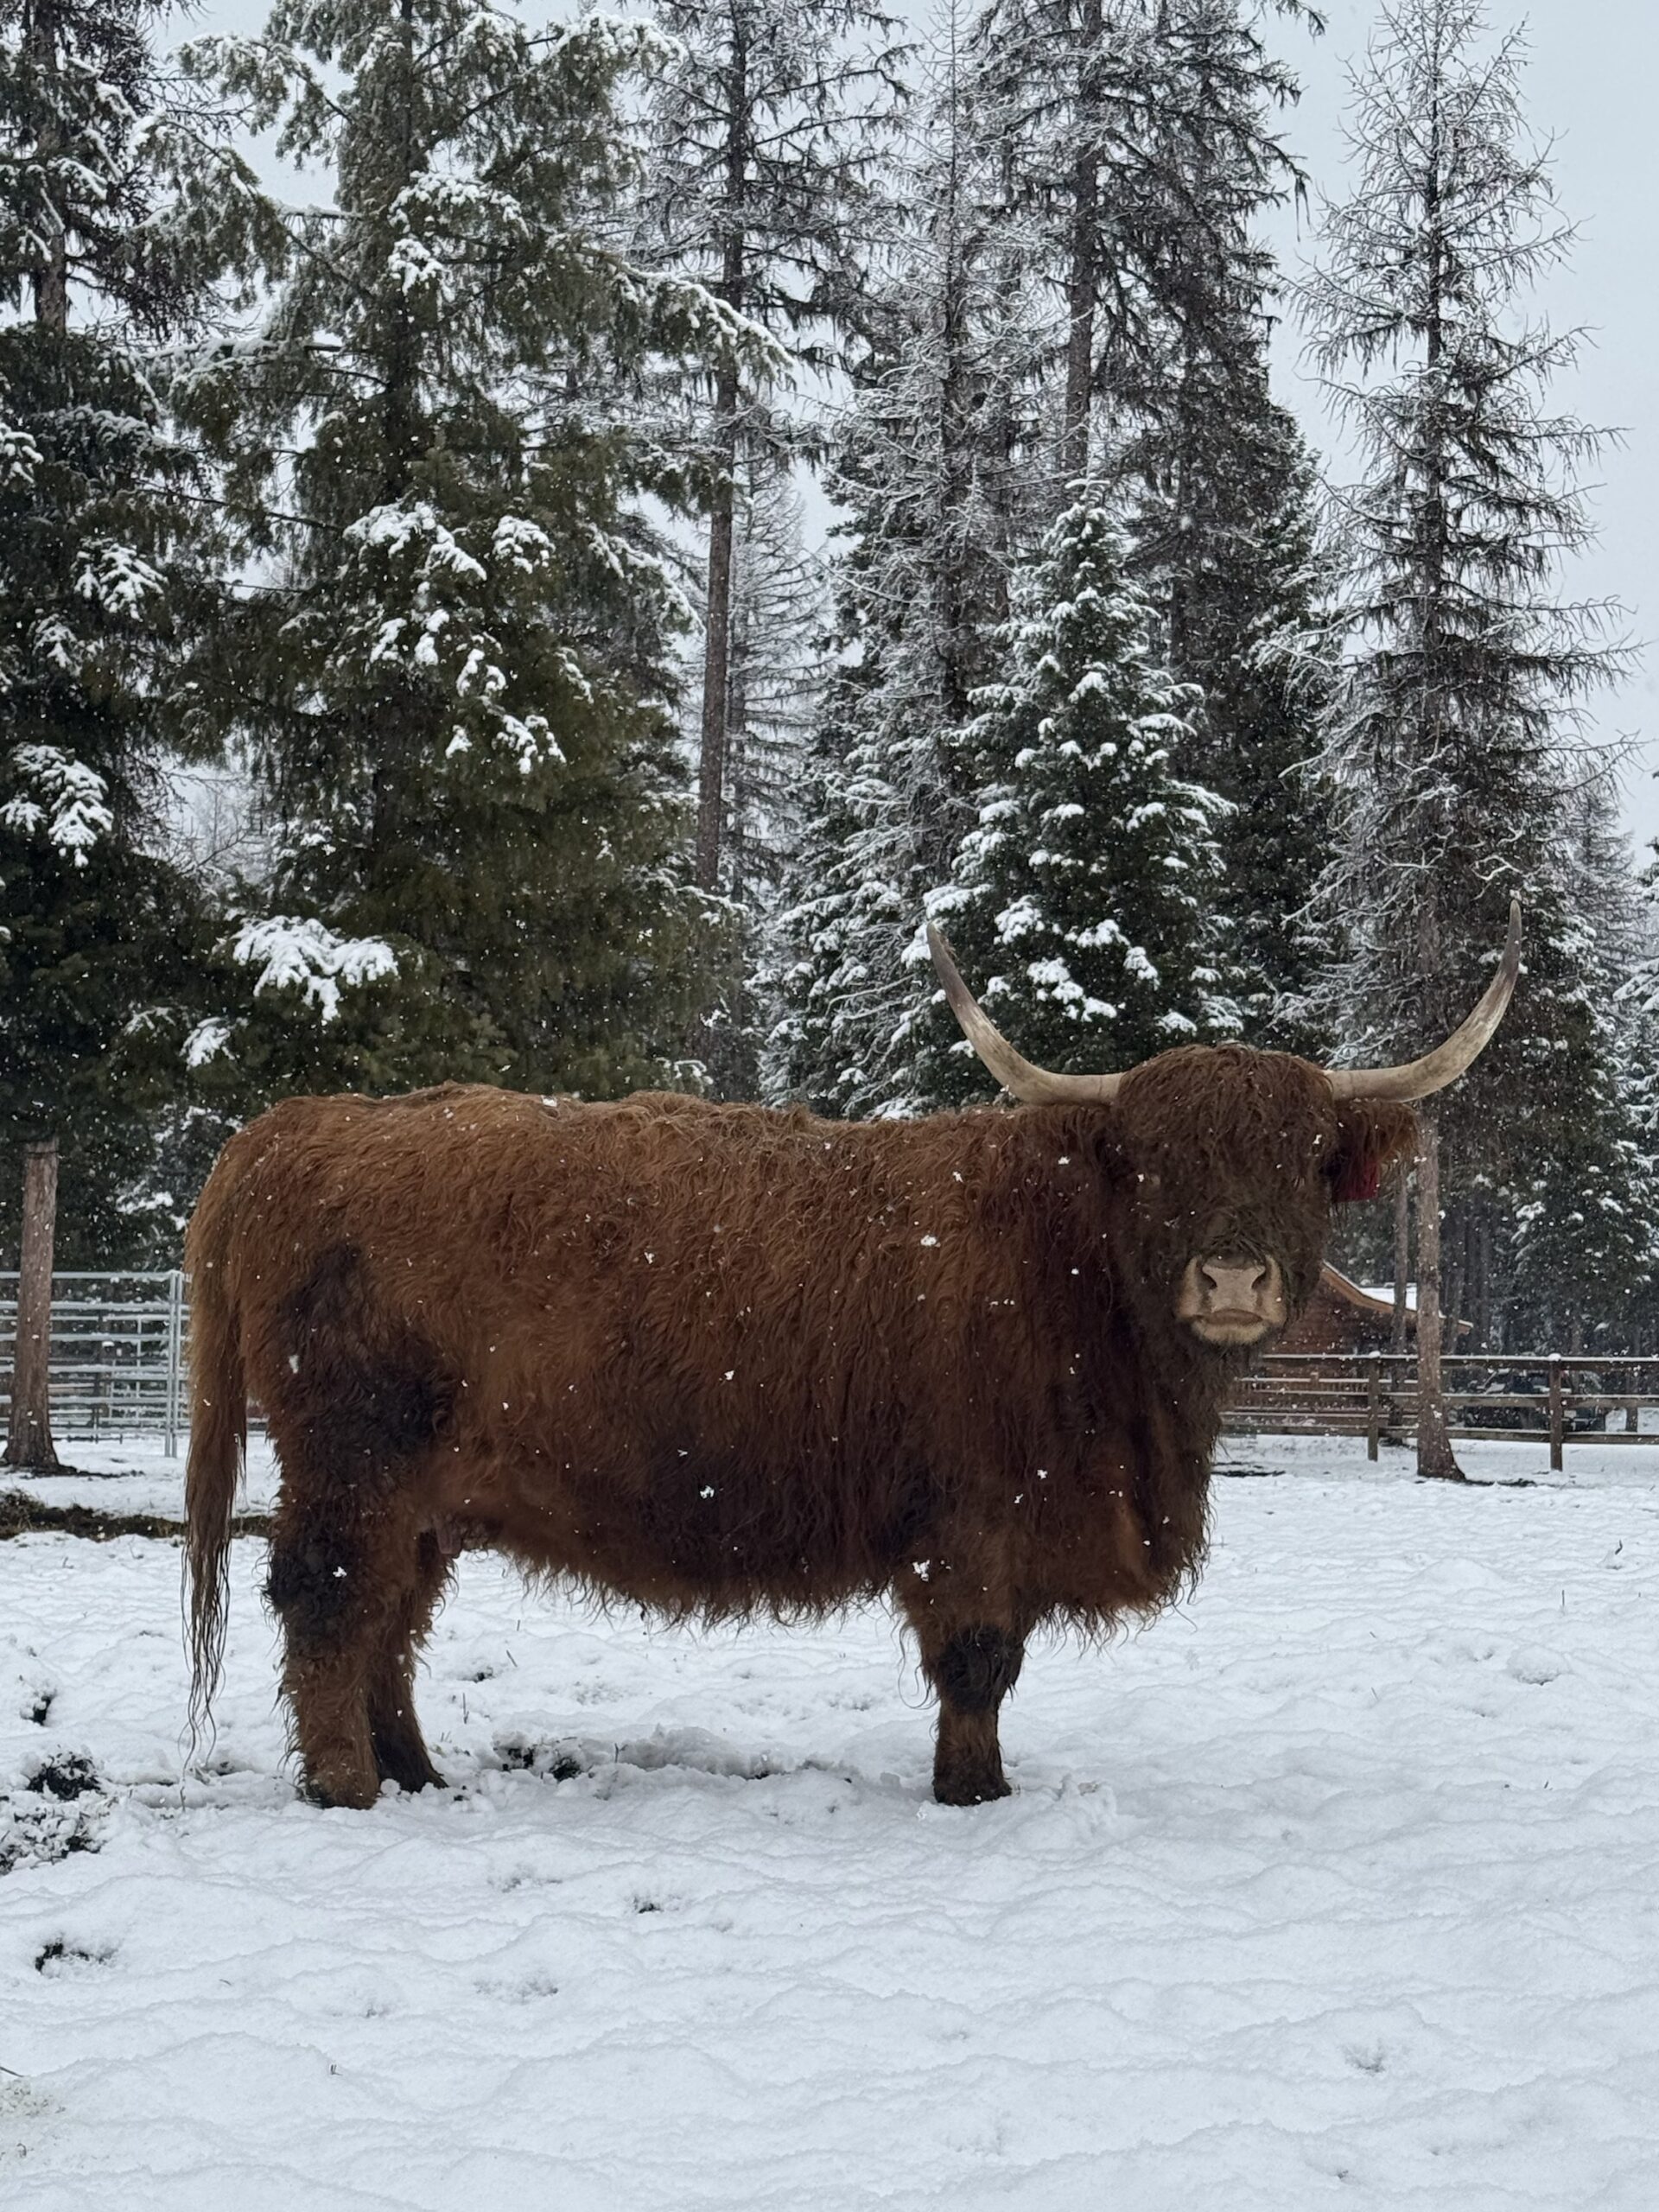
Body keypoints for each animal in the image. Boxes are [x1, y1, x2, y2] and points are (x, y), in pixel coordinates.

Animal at [184, 905, 1520, 1810]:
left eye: (1302, 1156)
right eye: (1151, 1159)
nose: (1233, 1281)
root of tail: (306, 1125)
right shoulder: (974, 1516)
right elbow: (978, 1663)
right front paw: (975, 1793)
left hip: (423, 1489)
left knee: (390, 1616)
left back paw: (417, 1769)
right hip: (355, 1457)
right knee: (325, 1598)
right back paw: (348, 1786)